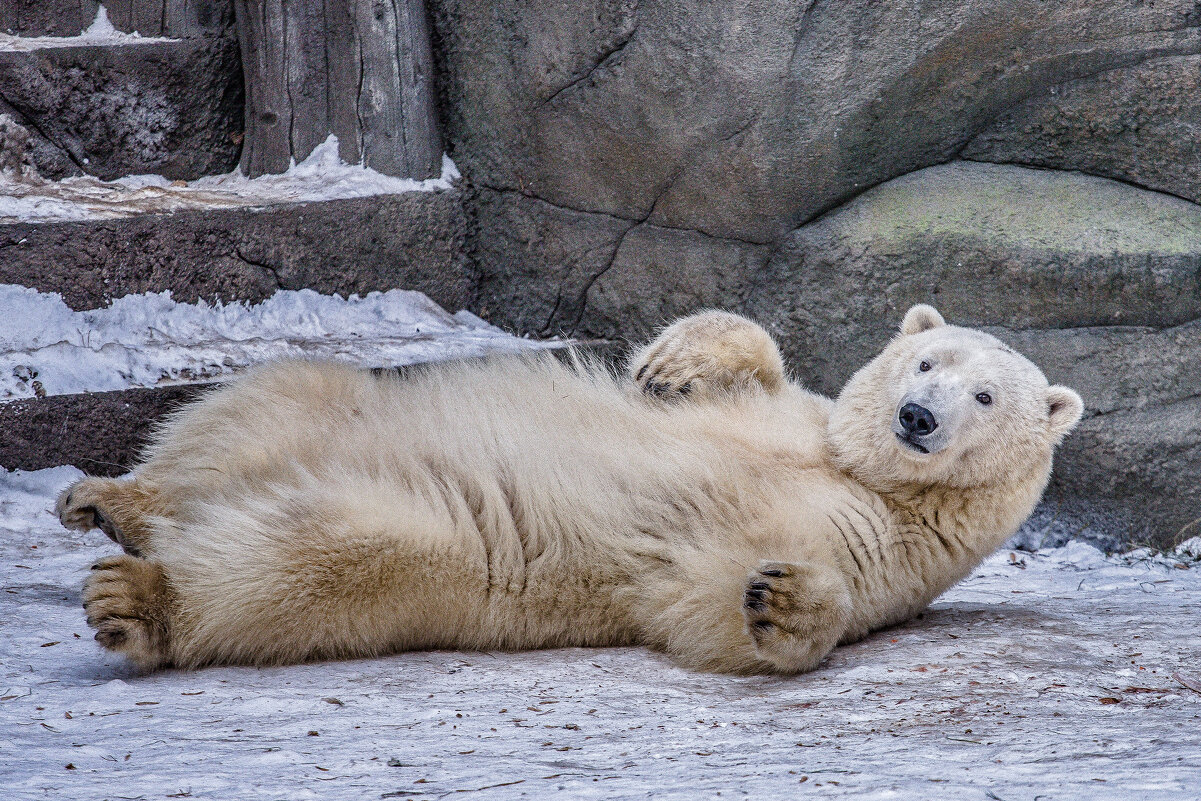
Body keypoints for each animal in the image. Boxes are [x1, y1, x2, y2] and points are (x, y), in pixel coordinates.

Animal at [58, 307, 1090, 677]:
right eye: (927, 359)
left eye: (986, 395)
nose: (916, 416)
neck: (864, 473)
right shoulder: (798, 423)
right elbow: (749, 361)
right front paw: (672, 361)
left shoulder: (879, 546)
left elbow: (712, 597)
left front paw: (782, 596)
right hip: (343, 409)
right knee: (254, 412)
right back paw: (113, 499)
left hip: (452, 538)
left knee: (328, 551)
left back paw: (137, 598)